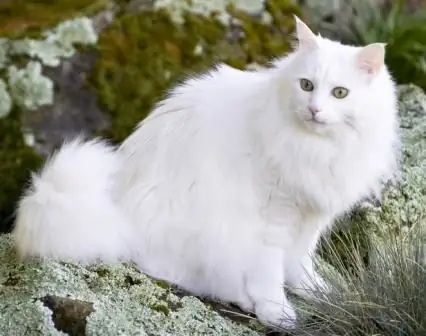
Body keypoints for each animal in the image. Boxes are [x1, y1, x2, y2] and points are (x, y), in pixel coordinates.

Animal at [12, 17, 400, 330]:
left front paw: (318, 292)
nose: (315, 109)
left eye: (340, 93)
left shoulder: (309, 217)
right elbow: (270, 273)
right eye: (306, 85)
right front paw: (277, 312)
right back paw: (245, 300)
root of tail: (116, 211)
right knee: (191, 277)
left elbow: (299, 264)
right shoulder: (273, 218)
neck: (316, 148)